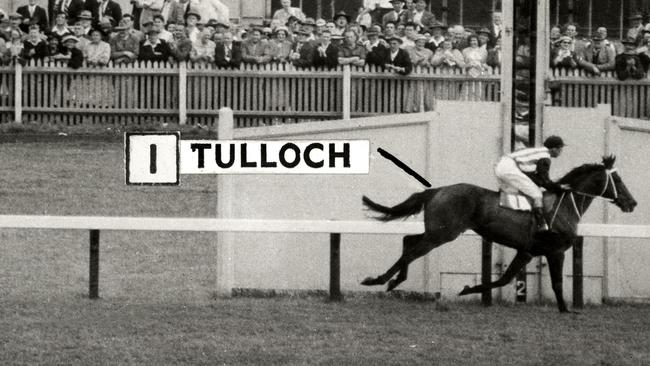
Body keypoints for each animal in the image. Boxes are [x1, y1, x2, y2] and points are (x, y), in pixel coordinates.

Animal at [362, 156, 636, 314]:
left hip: (437, 231)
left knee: (408, 241)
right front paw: (565, 309)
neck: (566, 205)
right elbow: (557, 282)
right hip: (443, 233)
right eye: (618, 180)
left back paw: (394, 280)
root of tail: (437, 191)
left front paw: (468, 289)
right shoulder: (555, 251)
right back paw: (379, 279)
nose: (631, 203)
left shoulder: (527, 252)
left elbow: (504, 279)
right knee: (412, 251)